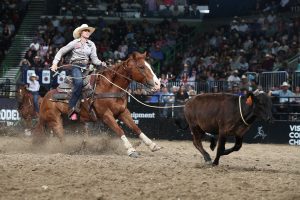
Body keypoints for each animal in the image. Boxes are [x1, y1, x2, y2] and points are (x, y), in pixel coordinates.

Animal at [33, 52, 162, 158]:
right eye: (141, 67)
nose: (158, 84)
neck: (110, 87)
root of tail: (44, 98)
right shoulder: (106, 116)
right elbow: (120, 130)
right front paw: (131, 150)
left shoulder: (123, 112)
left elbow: (136, 128)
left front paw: (152, 145)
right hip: (55, 121)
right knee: (61, 138)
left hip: (75, 123)